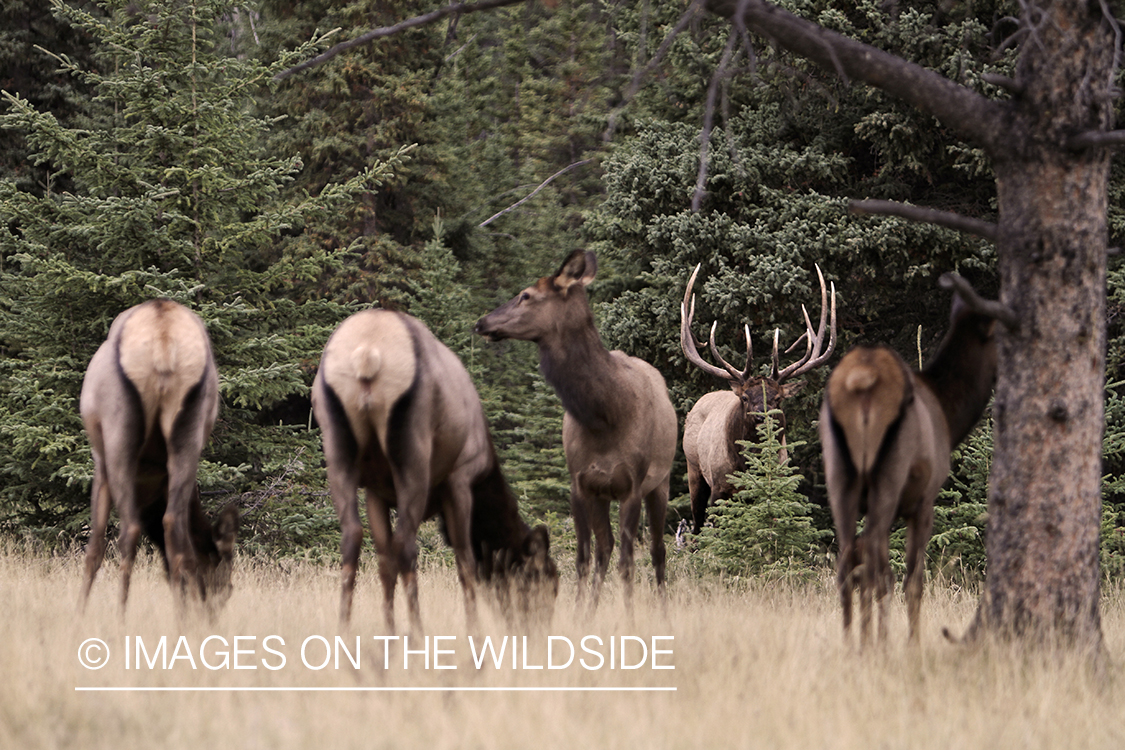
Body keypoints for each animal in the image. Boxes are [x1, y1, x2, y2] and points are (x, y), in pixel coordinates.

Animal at [79, 299, 239, 616]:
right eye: (227, 589)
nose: (210, 618)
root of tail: (163, 340)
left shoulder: (100, 462)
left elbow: (94, 548)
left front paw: (78, 613)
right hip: (189, 431)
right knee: (174, 530)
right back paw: (179, 620)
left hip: (119, 434)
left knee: (130, 531)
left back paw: (121, 617)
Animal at [312, 310, 558, 634]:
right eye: (544, 579)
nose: (540, 629)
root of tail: (367, 354)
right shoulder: (460, 478)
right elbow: (466, 561)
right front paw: (473, 630)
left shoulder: (375, 491)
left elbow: (384, 563)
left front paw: (389, 630)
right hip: (414, 454)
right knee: (406, 545)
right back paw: (417, 632)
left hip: (337, 450)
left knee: (352, 537)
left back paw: (344, 628)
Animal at [474, 249, 675, 611]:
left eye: (526, 295)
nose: (481, 322)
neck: (606, 416)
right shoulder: (580, 484)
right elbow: (584, 558)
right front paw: (580, 614)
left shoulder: (632, 485)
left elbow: (628, 562)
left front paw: (630, 616)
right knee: (605, 547)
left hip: (661, 482)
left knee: (657, 550)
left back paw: (663, 611)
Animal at [675, 264, 837, 532]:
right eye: (745, 398)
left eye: (779, 398)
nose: (762, 417)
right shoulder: (720, 488)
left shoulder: (777, 484)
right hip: (694, 468)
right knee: (697, 525)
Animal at [823, 273, 1017, 647]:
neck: (949, 416)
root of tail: (860, 380)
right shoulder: (925, 498)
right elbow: (914, 580)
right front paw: (912, 644)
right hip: (889, 476)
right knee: (874, 565)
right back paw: (874, 646)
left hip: (839, 475)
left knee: (848, 562)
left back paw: (852, 644)